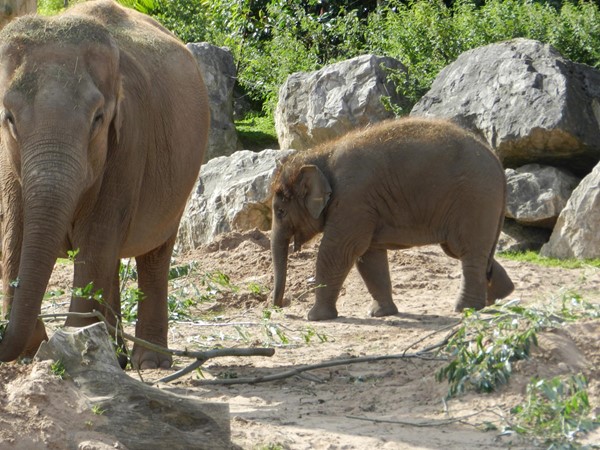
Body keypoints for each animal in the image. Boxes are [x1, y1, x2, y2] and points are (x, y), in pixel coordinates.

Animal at [0, 0, 211, 370]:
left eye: (98, 119)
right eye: (8, 117)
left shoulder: (130, 142)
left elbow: (96, 237)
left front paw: (69, 351)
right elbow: (16, 233)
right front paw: (34, 351)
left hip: (178, 187)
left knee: (153, 256)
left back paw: (149, 362)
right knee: (112, 259)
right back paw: (118, 356)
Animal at [270, 116, 512, 320]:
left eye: (280, 212)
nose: (280, 307)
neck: (321, 154)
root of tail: (496, 160)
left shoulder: (352, 199)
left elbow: (339, 250)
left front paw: (315, 317)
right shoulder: (365, 207)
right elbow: (369, 256)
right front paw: (380, 313)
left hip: (475, 198)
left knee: (468, 251)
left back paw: (466, 308)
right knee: (467, 252)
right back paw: (501, 295)